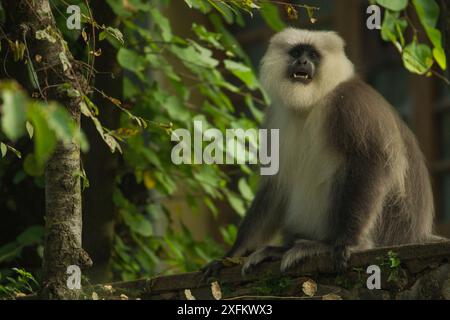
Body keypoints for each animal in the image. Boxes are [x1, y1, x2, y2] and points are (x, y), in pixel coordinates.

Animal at [203, 28, 440, 276]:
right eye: (297, 52)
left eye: (313, 55)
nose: (302, 62)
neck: (311, 102)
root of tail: (415, 235)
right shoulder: (275, 117)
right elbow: (275, 185)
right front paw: (232, 255)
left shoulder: (348, 102)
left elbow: (375, 161)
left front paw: (348, 243)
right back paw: (281, 249)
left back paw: (322, 245)